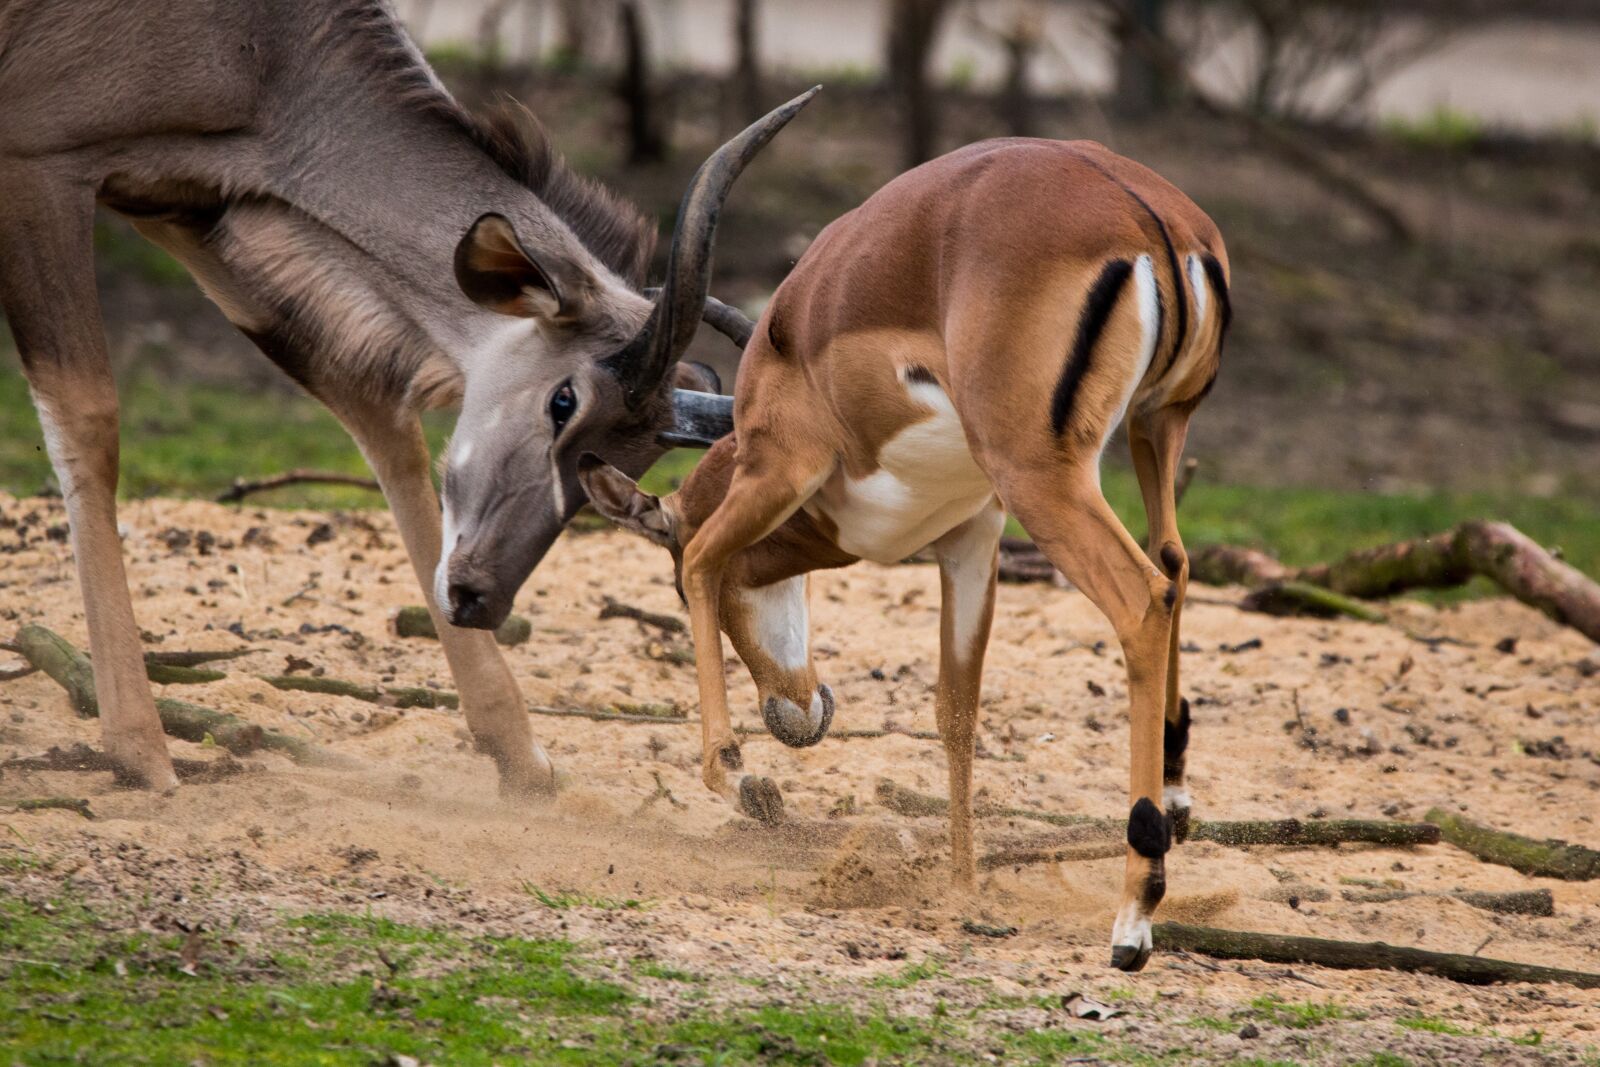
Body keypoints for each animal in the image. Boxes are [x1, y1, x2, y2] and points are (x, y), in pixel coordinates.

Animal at [0, 0, 790, 793]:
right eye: (563, 401)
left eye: (634, 461)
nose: (478, 597)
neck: (266, 52)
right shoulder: (40, 165)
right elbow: (88, 418)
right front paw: (140, 750)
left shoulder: (190, 208)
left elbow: (381, 421)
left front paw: (521, 757)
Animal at [580, 137, 1230, 971]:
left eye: (667, 585)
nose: (796, 714)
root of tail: (1148, 215)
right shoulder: (973, 537)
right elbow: (956, 709)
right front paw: (960, 890)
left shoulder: (778, 466)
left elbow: (701, 562)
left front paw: (739, 778)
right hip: (1157, 426)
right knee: (1175, 563)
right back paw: (1175, 801)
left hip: (1044, 479)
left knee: (1143, 596)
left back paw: (1134, 915)